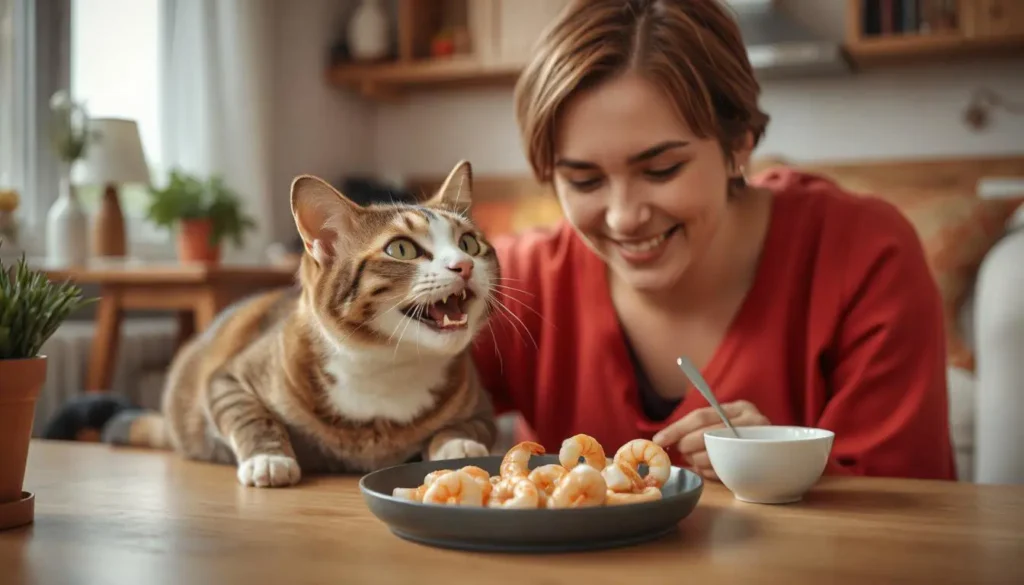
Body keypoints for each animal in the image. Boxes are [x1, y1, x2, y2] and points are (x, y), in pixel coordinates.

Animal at [76, 161, 499, 489]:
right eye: (402, 249)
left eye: (469, 243)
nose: (464, 265)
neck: (388, 366)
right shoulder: (228, 376)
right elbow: (247, 413)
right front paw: (268, 459)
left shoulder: (481, 405)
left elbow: (470, 426)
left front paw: (457, 445)